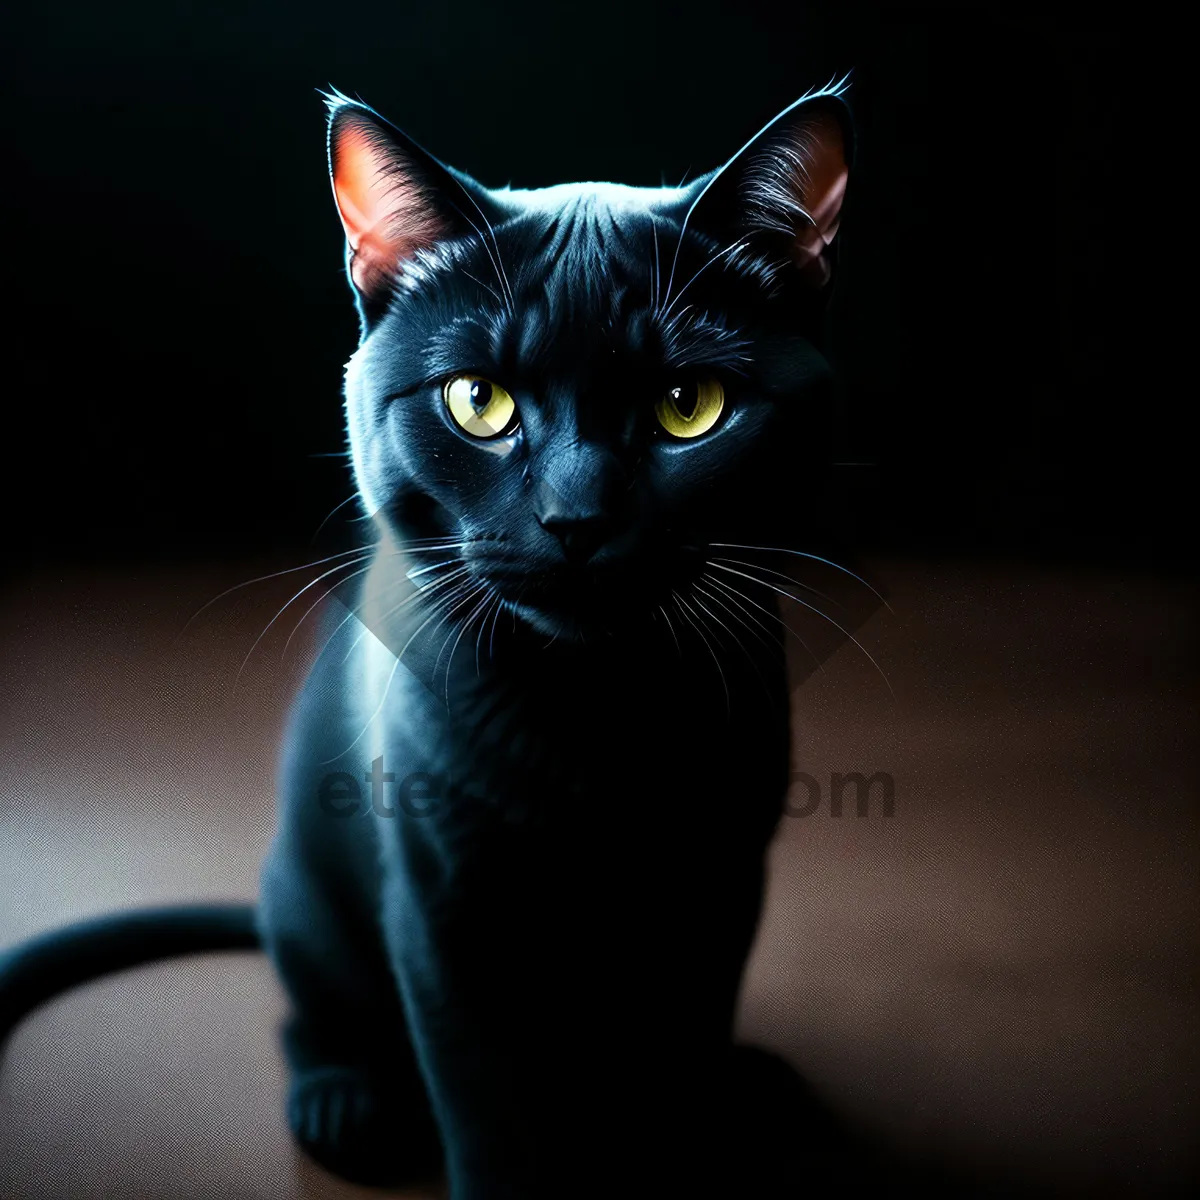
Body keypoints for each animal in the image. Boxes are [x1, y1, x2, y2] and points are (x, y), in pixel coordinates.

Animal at [2, 79, 864, 1195]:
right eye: (478, 401)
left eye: (689, 407)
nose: (577, 518)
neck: (589, 718)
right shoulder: (440, 909)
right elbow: (483, 1097)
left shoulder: (719, 882)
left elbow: (676, 1058)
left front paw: (688, 1124)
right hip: (309, 903)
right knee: (311, 1014)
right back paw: (343, 1105)